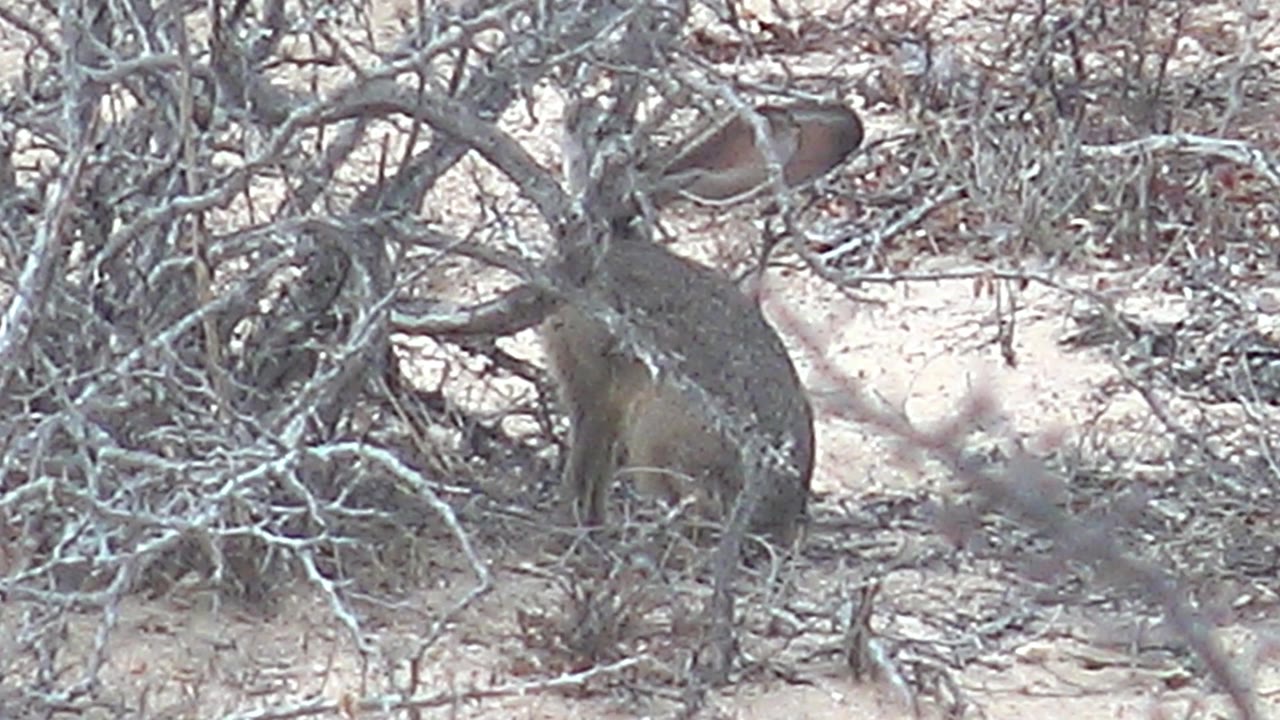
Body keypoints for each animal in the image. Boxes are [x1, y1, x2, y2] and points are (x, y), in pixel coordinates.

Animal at [543, 100, 863, 545]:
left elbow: (585, 459)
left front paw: (568, 525)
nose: (576, 109)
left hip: (660, 429)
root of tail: (777, 522)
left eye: (600, 132)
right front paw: (591, 523)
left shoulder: (592, 385)